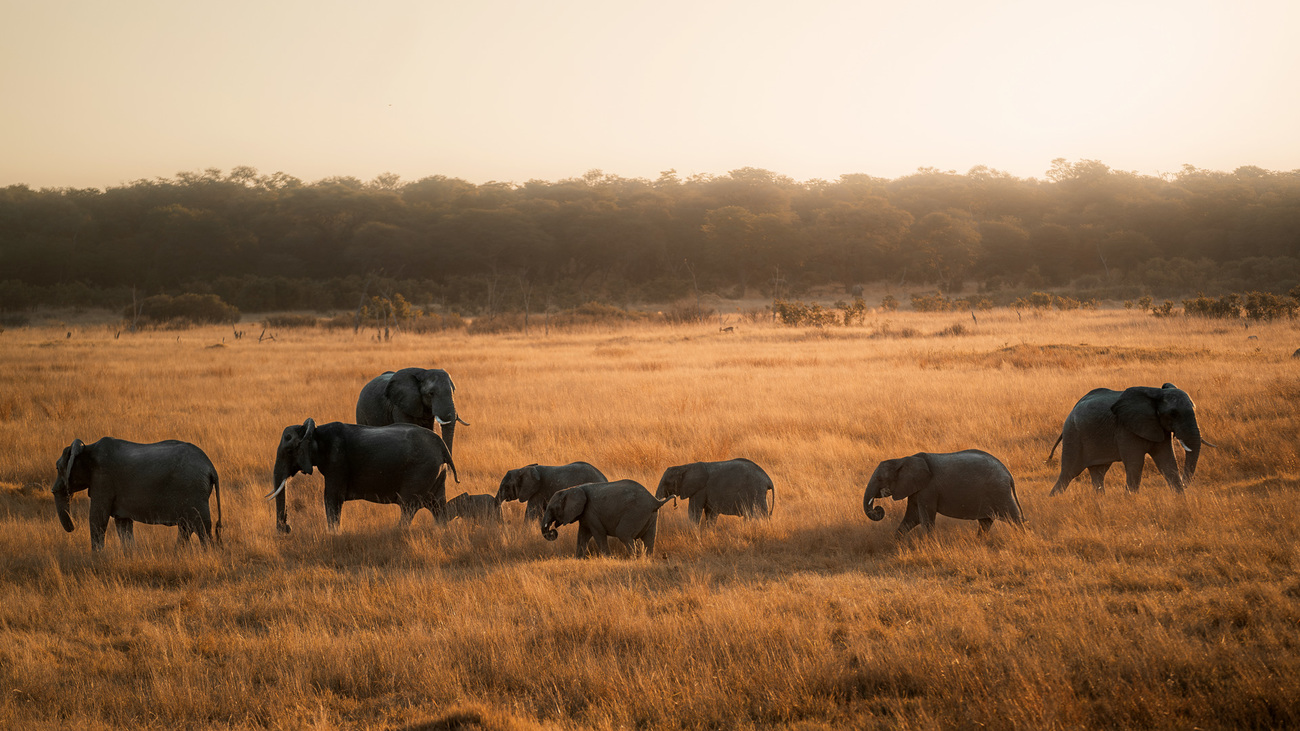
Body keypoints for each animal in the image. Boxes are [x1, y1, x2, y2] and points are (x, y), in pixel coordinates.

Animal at [50, 434, 222, 548]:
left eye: (57, 468)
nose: (73, 528)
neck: (87, 448)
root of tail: (211, 468)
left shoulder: (103, 479)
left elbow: (98, 518)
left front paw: (97, 560)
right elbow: (123, 524)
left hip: (193, 489)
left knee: (201, 527)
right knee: (186, 526)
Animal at [266, 418, 460, 533]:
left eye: (289, 451)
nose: (287, 528)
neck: (314, 432)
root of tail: (442, 445)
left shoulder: (337, 462)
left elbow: (331, 497)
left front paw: (333, 535)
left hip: (421, 469)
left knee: (408, 506)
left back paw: (396, 532)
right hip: (435, 472)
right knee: (437, 506)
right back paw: (441, 531)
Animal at [538, 478, 670, 556]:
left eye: (553, 509)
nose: (553, 531)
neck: (572, 489)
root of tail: (655, 501)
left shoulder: (591, 512)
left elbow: (598, 534)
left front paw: (608, 558)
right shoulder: (585, 515)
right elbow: (582, 535)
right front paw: (578, 558)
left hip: (636, 512)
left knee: (623, 534)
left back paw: (634, 558)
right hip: (651, 515)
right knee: (649, 538)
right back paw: (646, 559)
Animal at [863, 447, 1024, 533]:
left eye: (879, 479)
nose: (878, 508)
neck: (902, 459)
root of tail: (1008, 473)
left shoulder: (928, 489)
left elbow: (925, 518)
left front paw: (929, 548)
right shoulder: (916, 489)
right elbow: (912, 517)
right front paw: (897, 544)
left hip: (999, 492)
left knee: (1014, 518)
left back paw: (1022, 538)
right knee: (986, 522)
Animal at [1045, 382, 1206, 494]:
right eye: (1173, 414)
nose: (1185, 483)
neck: (1157, 393)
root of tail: (1072, 410)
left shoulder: (1159, 427)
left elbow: (1168, 463)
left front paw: (1181, 501)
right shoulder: (1126, 428)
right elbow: (1135, 463)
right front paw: (1131, 501)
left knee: (1098, 473)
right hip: (1073, 435)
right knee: (1069, 473)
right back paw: (1054, 500)